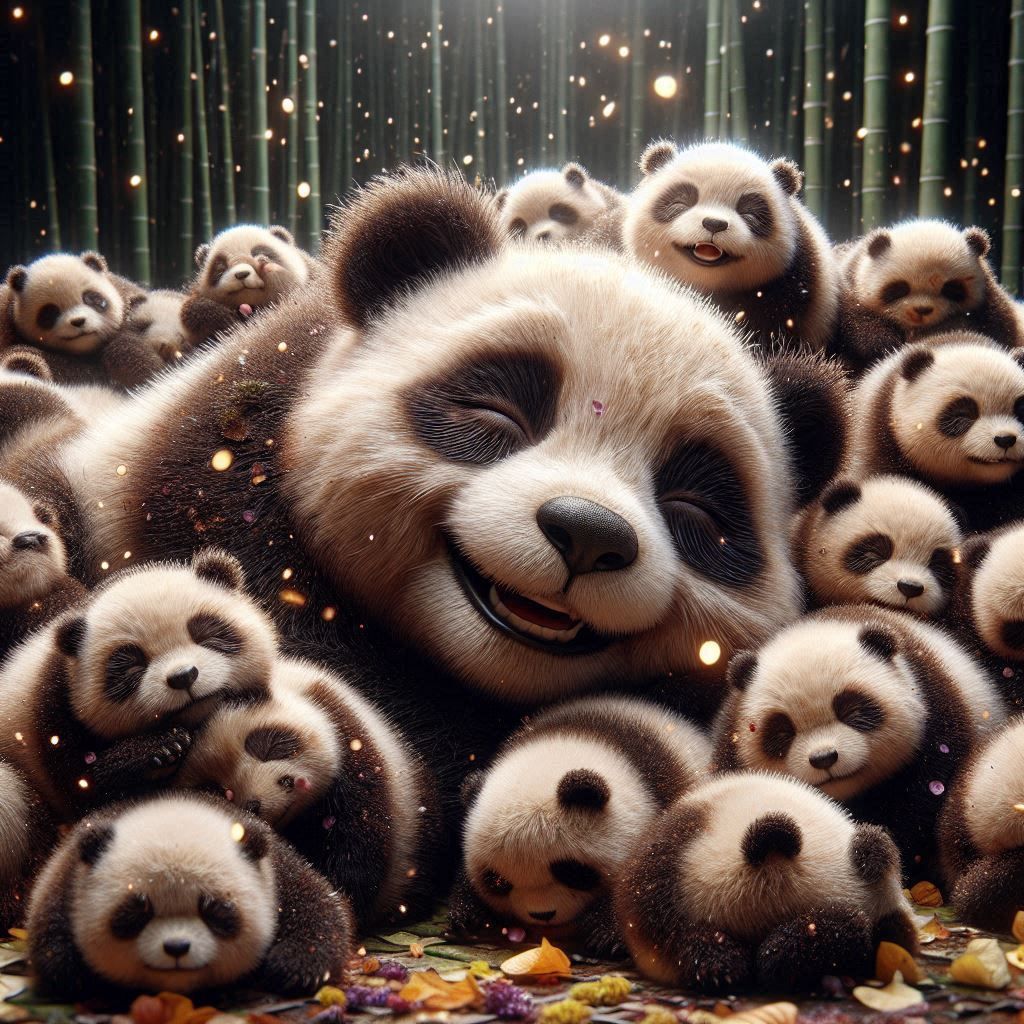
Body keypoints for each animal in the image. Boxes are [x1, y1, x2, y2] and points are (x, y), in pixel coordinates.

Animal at [0, 548, 276, 819]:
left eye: (206, 635)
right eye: (133, 667)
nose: (183, 676)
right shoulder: (52, 710)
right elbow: (82, 785)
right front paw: (161, 748)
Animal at [26, 791, 354, 996]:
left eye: (214, 910)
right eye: (137, 912)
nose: (176, 947)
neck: (173, 808)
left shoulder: (276, 866)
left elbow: (318, 906)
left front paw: (294, 968)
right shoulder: (68, 873)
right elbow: (50, 922)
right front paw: (73, 972)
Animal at [829, 220, 1021, 372]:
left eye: (950, 289)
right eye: (900, 288)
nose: (922, 310)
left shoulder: (991, 305)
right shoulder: (848, 282)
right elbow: (858, 323)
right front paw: (883, 344)